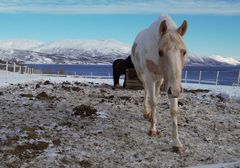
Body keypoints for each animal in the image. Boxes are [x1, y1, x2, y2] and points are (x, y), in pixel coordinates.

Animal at [131, 15, 188, 155]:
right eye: (160, 52)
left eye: (184, 52)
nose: (176, 91)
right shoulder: (150, 77)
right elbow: (153, 102)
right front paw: (153, 129)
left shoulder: (170, 83)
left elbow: (173, 110)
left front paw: (177, 143)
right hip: (142, 75)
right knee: (147, 92)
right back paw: (147, 113)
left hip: (160, 80)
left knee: (155, 92)